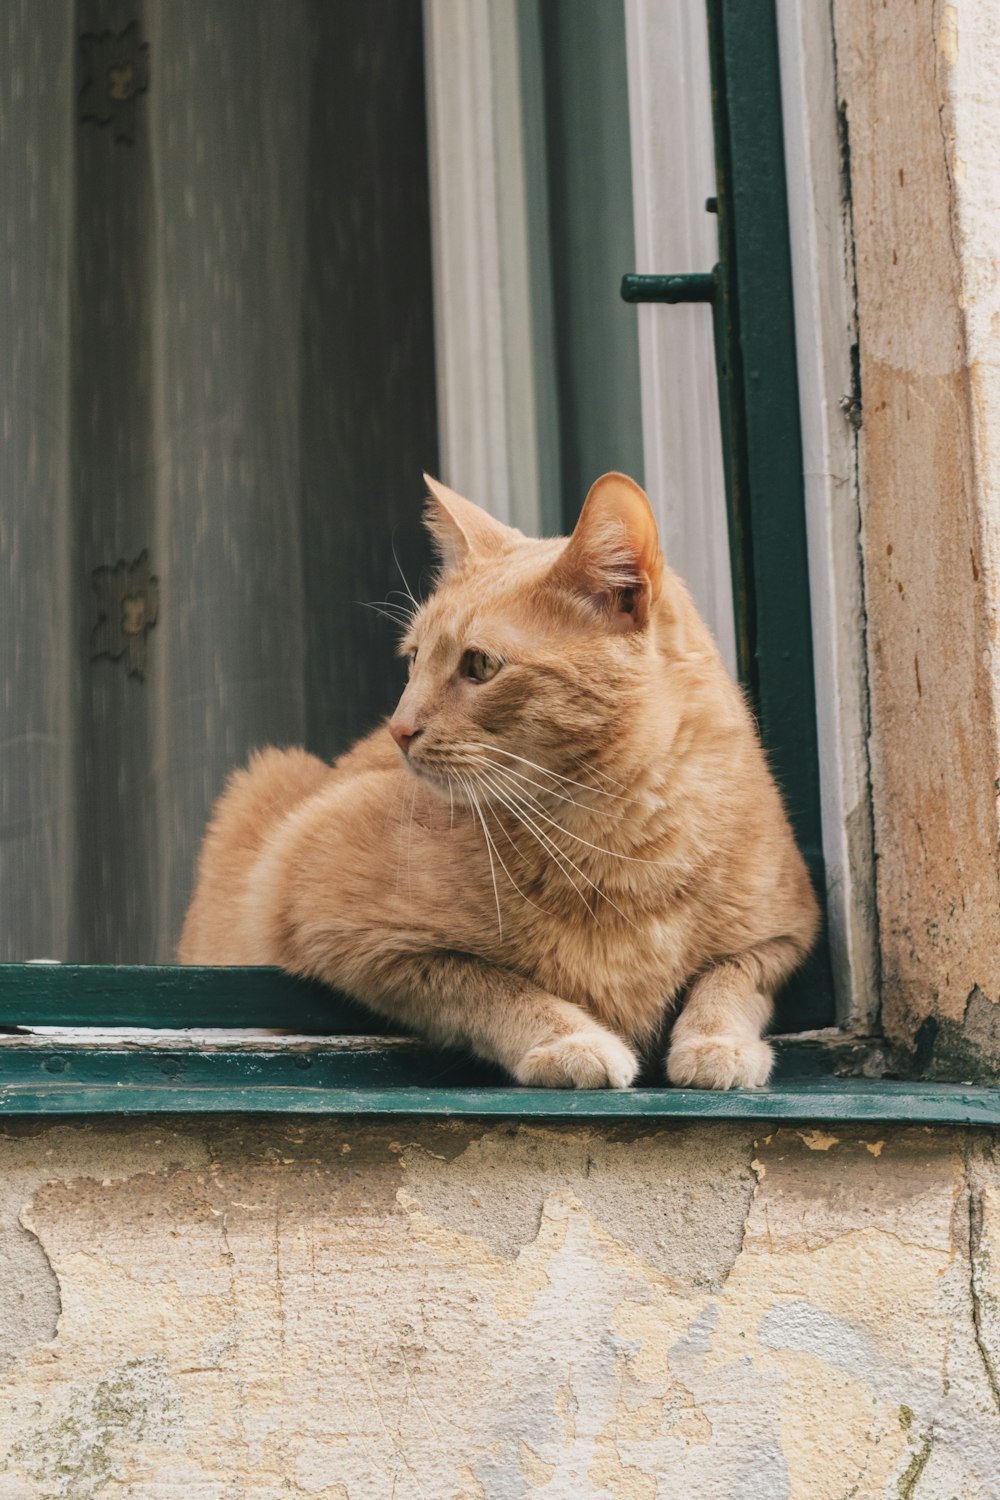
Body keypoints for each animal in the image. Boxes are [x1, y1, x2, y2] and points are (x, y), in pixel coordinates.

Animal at [179, 474, 821, 1086]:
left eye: (481, 665)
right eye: (414, 659)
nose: (398, 729)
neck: (618, 842)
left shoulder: (786, 936)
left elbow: (731, 979)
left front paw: (717, 1043)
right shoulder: (330, 913)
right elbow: (487, 984)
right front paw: (569, 1039)